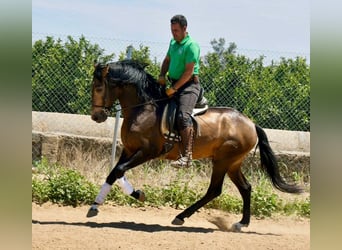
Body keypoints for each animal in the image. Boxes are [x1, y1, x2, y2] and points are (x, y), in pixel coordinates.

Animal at [87, 59, 302, 231]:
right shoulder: (129, 149)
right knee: (245, 187)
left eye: (98, 88)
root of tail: (251, 124)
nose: (96, 116)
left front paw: (138, 194)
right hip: (232, 163)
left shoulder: (147, 152)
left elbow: (119, 170)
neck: (144, 109)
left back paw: (180, 217)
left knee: (215, 190)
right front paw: (95, 206)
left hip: (223, 160)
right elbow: (114, 173)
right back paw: (241, 223)